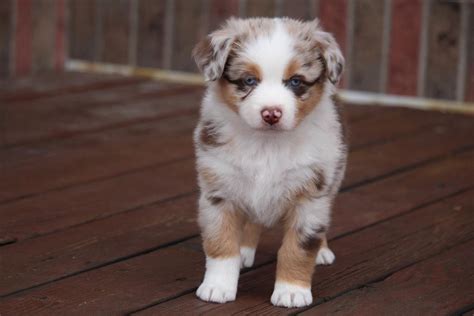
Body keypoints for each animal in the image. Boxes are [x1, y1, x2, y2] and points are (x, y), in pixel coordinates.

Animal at [191, 17, 346, 308]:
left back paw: (322, 252)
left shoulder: (310, 197)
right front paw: (218, 286)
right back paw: (245, 250)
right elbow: (221, 243)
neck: (267, 145)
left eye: (296, 82)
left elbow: (298, 248)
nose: (271, 113)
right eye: (249, 80)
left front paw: (292, 291)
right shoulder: (219, 192)